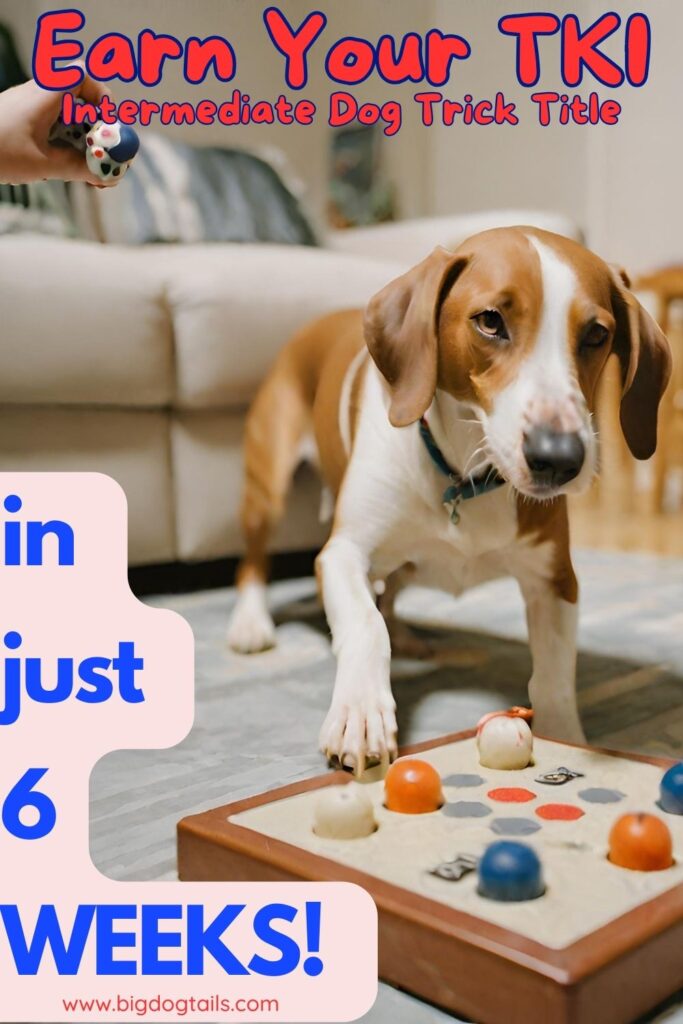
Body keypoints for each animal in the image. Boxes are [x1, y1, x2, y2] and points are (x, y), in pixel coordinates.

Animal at [227, 224, 671, 770]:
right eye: (490, 321)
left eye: (596, 335)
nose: (560, 458)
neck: (463, 474)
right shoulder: (343, 554)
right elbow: (364, 625)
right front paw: (361, 711)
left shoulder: (554, 579)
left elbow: (554, 675)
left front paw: (566, 735)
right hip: (268, 487)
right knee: (255, 562)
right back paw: (251, 623)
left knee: (389, 595)